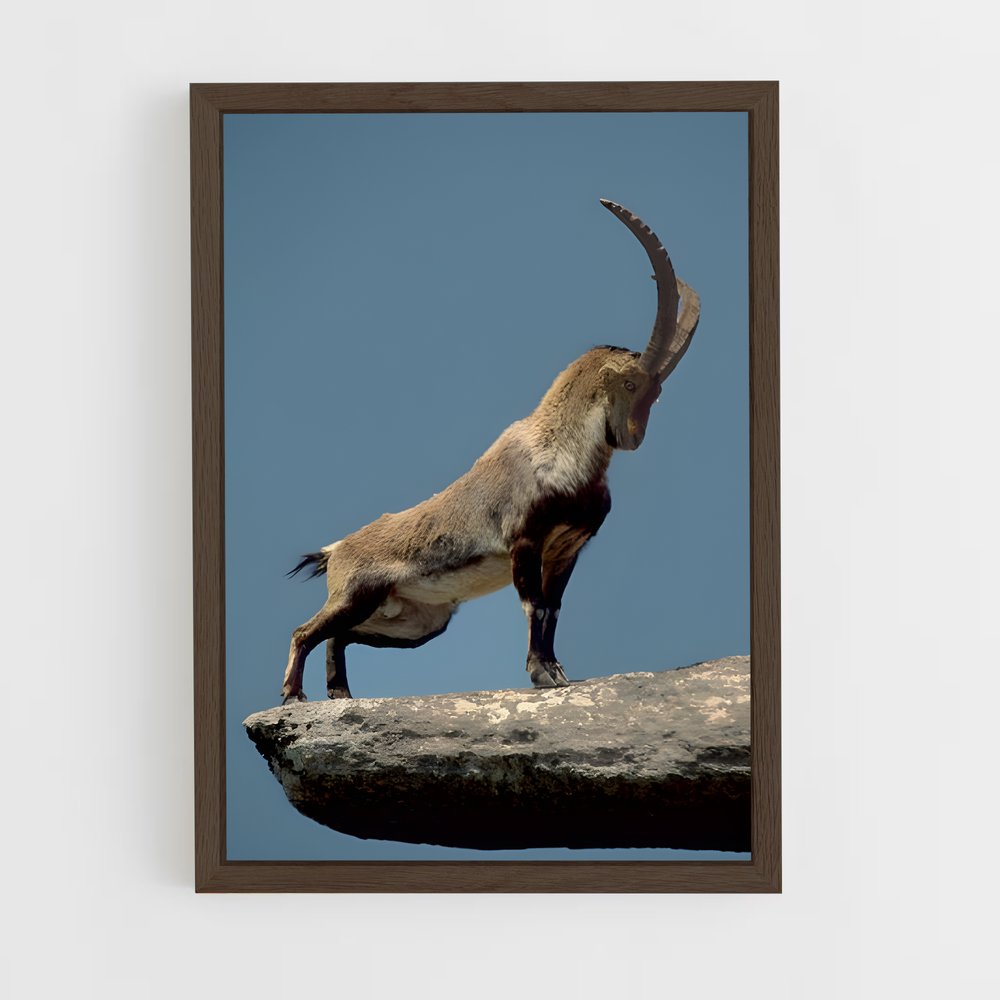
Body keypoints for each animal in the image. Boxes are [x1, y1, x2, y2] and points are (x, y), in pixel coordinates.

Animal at [280, 199, 701, 703]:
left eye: (657, 394)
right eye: (633, 385)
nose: (633, 438)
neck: (561, 455)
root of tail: (335, 550)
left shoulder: (568, 548)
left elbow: (554, 608)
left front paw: (556, 670)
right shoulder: (525, 540)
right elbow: (535, 606)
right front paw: (542, 674)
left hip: (416, 620)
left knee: (338, 635)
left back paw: (341, 695)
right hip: (356, 594)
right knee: (305, 631)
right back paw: (293, 695)